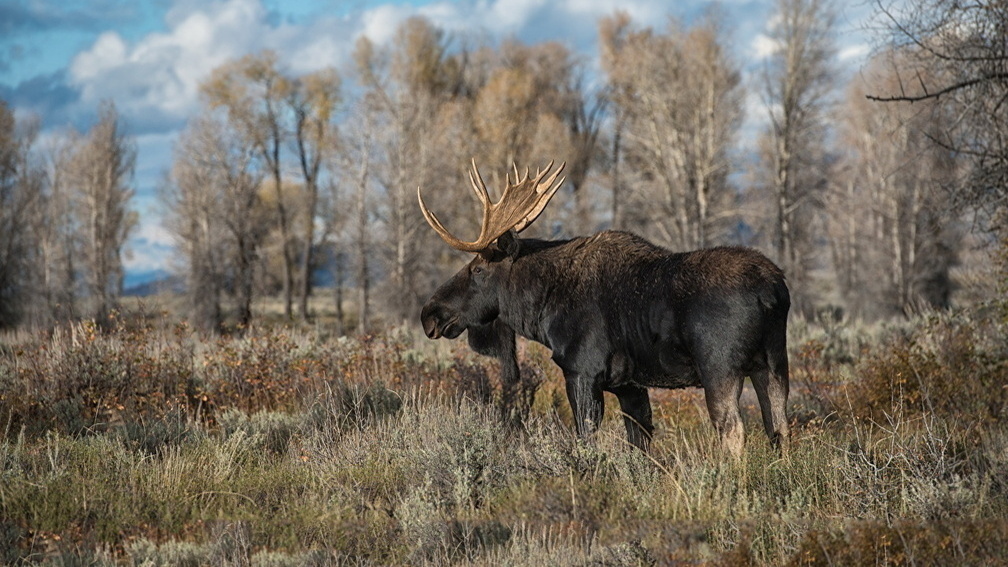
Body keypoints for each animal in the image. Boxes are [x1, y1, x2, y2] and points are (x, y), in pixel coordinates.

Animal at [417, 160, 786, 454]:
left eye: (478, 268)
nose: (429, 314)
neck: (541, 310)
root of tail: (772, 291)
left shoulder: (582, 371)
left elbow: (586, 439)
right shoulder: (630, 385)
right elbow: (640, 445)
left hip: (720, 367)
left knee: (733, 431)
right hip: (772, 363)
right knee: (778, 428)